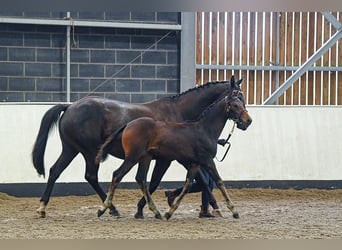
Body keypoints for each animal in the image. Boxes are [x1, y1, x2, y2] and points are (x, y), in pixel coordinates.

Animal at [32, 77, 235, 217]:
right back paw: (111, 208)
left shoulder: (186, 158)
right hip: (89, 152)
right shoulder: (168, 159)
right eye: (237, 96)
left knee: (55, 171)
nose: (243, 120)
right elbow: (156, 182)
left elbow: (199, 180)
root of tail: (70, 106)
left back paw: (43, 207)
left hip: (71, 149)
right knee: (90, 176)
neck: (178, 112)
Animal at [96, 80, 251, 219]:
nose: (248, 121)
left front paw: (170, 211)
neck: (204, 129)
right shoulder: (205, 160)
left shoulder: (194, 163)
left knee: (141, 179)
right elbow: (219, 182)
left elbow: (189, 184)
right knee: (117, 175)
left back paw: (155, 211)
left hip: (145, 158)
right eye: (236, 104)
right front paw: (233, 211)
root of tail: (128, 124)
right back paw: (104, 208)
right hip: (132, 157)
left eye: (242, 102)